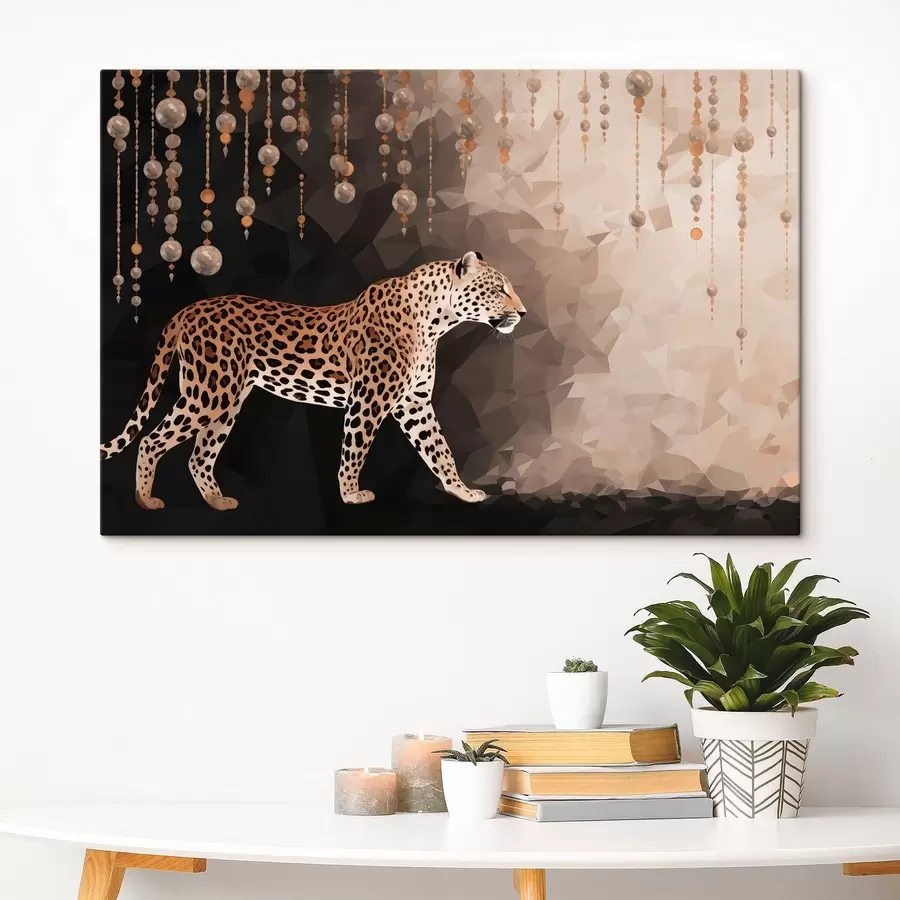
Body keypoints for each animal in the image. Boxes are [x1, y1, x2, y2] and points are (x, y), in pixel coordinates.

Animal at [100, 251, 526, 510]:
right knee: (152, 439)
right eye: (497, 289)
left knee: (199, 456)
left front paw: (461, 490)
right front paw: (351, 494)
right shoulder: (369, 400)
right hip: (208, 393)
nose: (523, 313)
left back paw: (218, 502)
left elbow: (439, 449)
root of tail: (188, 308)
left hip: (228, 400)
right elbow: (355, 449)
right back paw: (145, 500)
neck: (435, 321)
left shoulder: (414, 404)